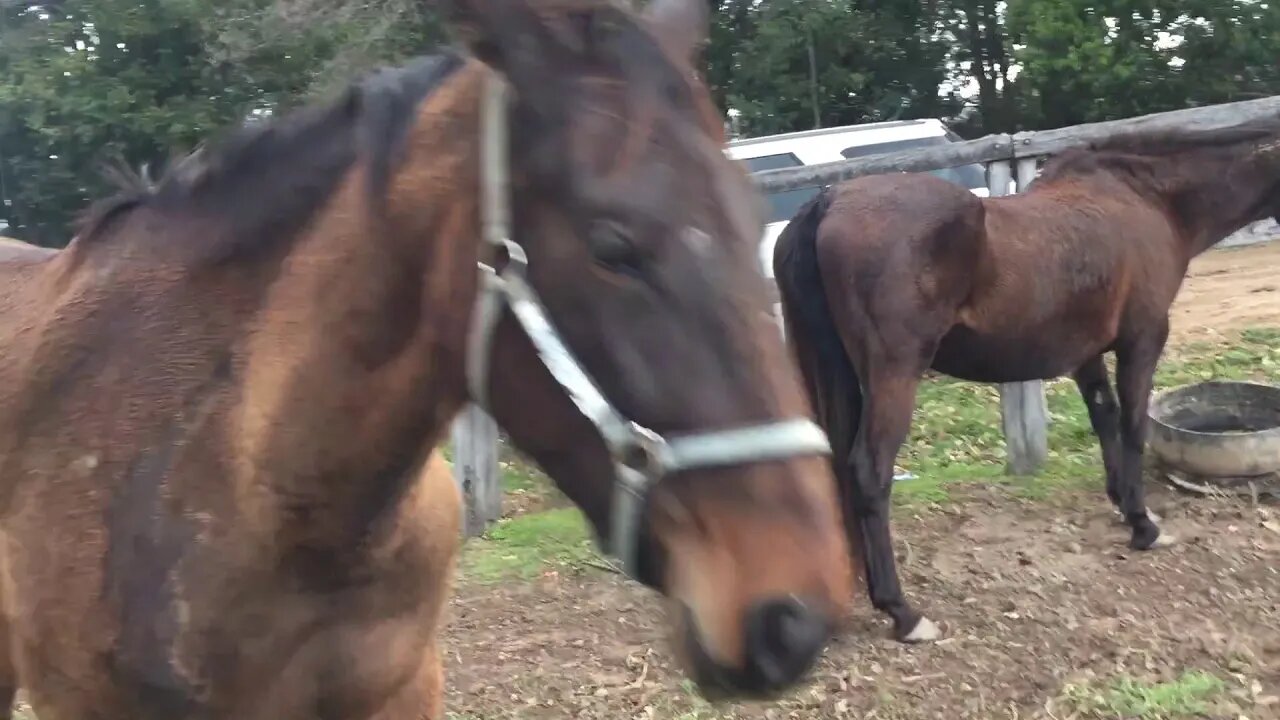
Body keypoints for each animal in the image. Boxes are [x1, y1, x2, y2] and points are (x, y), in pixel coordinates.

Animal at [768, 117, 1280, 638]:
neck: (1147, 199)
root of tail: (829, 201)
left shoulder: (1086, 352)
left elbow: (1105, 419)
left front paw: (1124, 505)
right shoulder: (1142, 340)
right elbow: (1133, 426)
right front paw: (1144, 526)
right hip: (894, 375)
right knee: (870, 474)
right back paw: (904, 613)